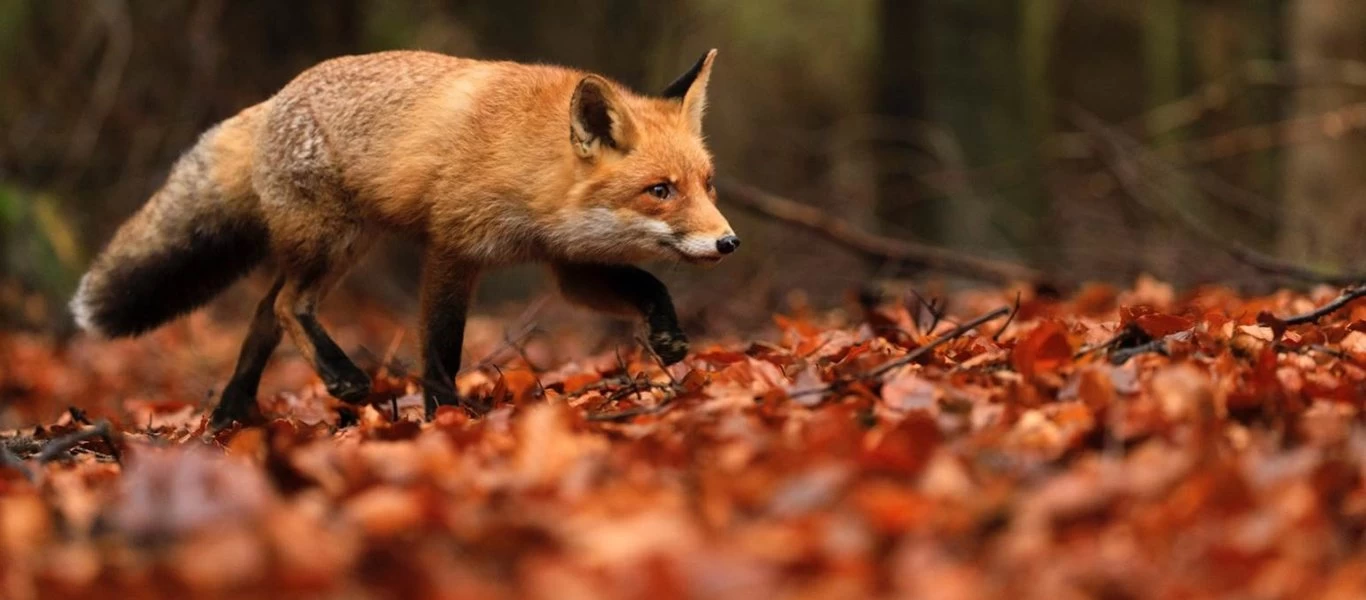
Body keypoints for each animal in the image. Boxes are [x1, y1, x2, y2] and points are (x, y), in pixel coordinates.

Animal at [69, 49, 743, 429]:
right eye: (660, 190)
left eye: (707, 184)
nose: (728, 242)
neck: (529, 163)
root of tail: (272, 100)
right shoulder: (453, 247)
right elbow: (440, 348)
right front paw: (444, 417)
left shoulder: (566, 262)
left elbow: (649, 283)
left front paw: (666, 335)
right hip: (334, 241)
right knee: (286, 305)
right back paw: (341, 379)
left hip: (339, 245)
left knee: (263, 311)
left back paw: (232, 414)